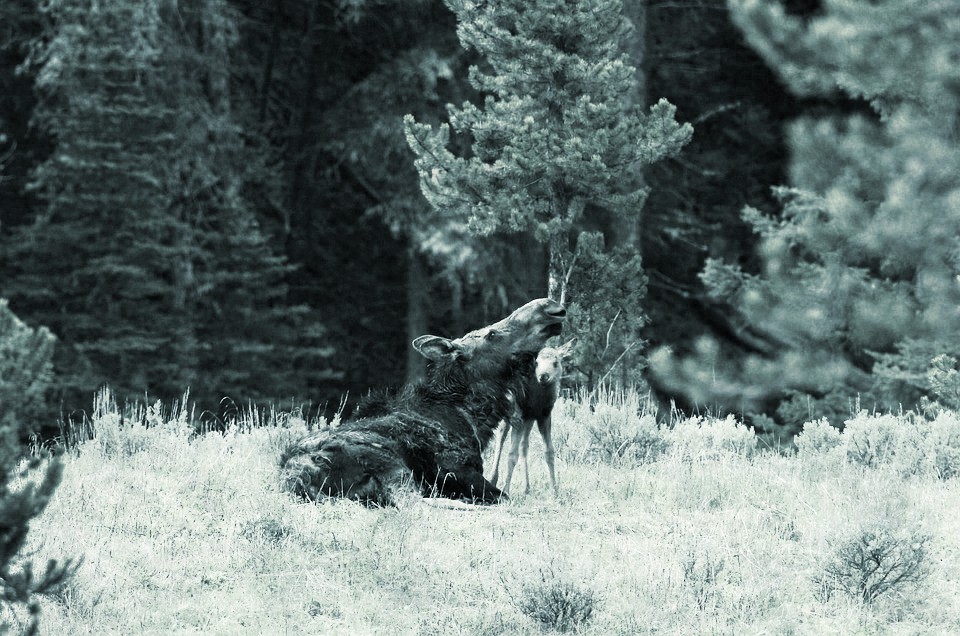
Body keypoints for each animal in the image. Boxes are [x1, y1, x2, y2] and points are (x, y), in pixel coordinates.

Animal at [278, 298, 564, 506]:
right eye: (491, 334)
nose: (549, 307)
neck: (474, 417)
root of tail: (294, 478)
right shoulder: (455, 469)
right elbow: (504, 495)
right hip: (393, 466)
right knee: (416, 503)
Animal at [492, 340, 572, 494]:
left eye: (556, 362)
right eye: (537, 363)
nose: (543, 376)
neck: (537, 399)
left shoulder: (544, 417)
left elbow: (549, 452)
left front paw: (555, 490)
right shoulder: (519, 417)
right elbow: (512, 455)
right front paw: (506, 490)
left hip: (528, 421)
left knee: (524, 446)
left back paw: (526, 487)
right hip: (508, 417)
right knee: (499, 440)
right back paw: (493, 479)